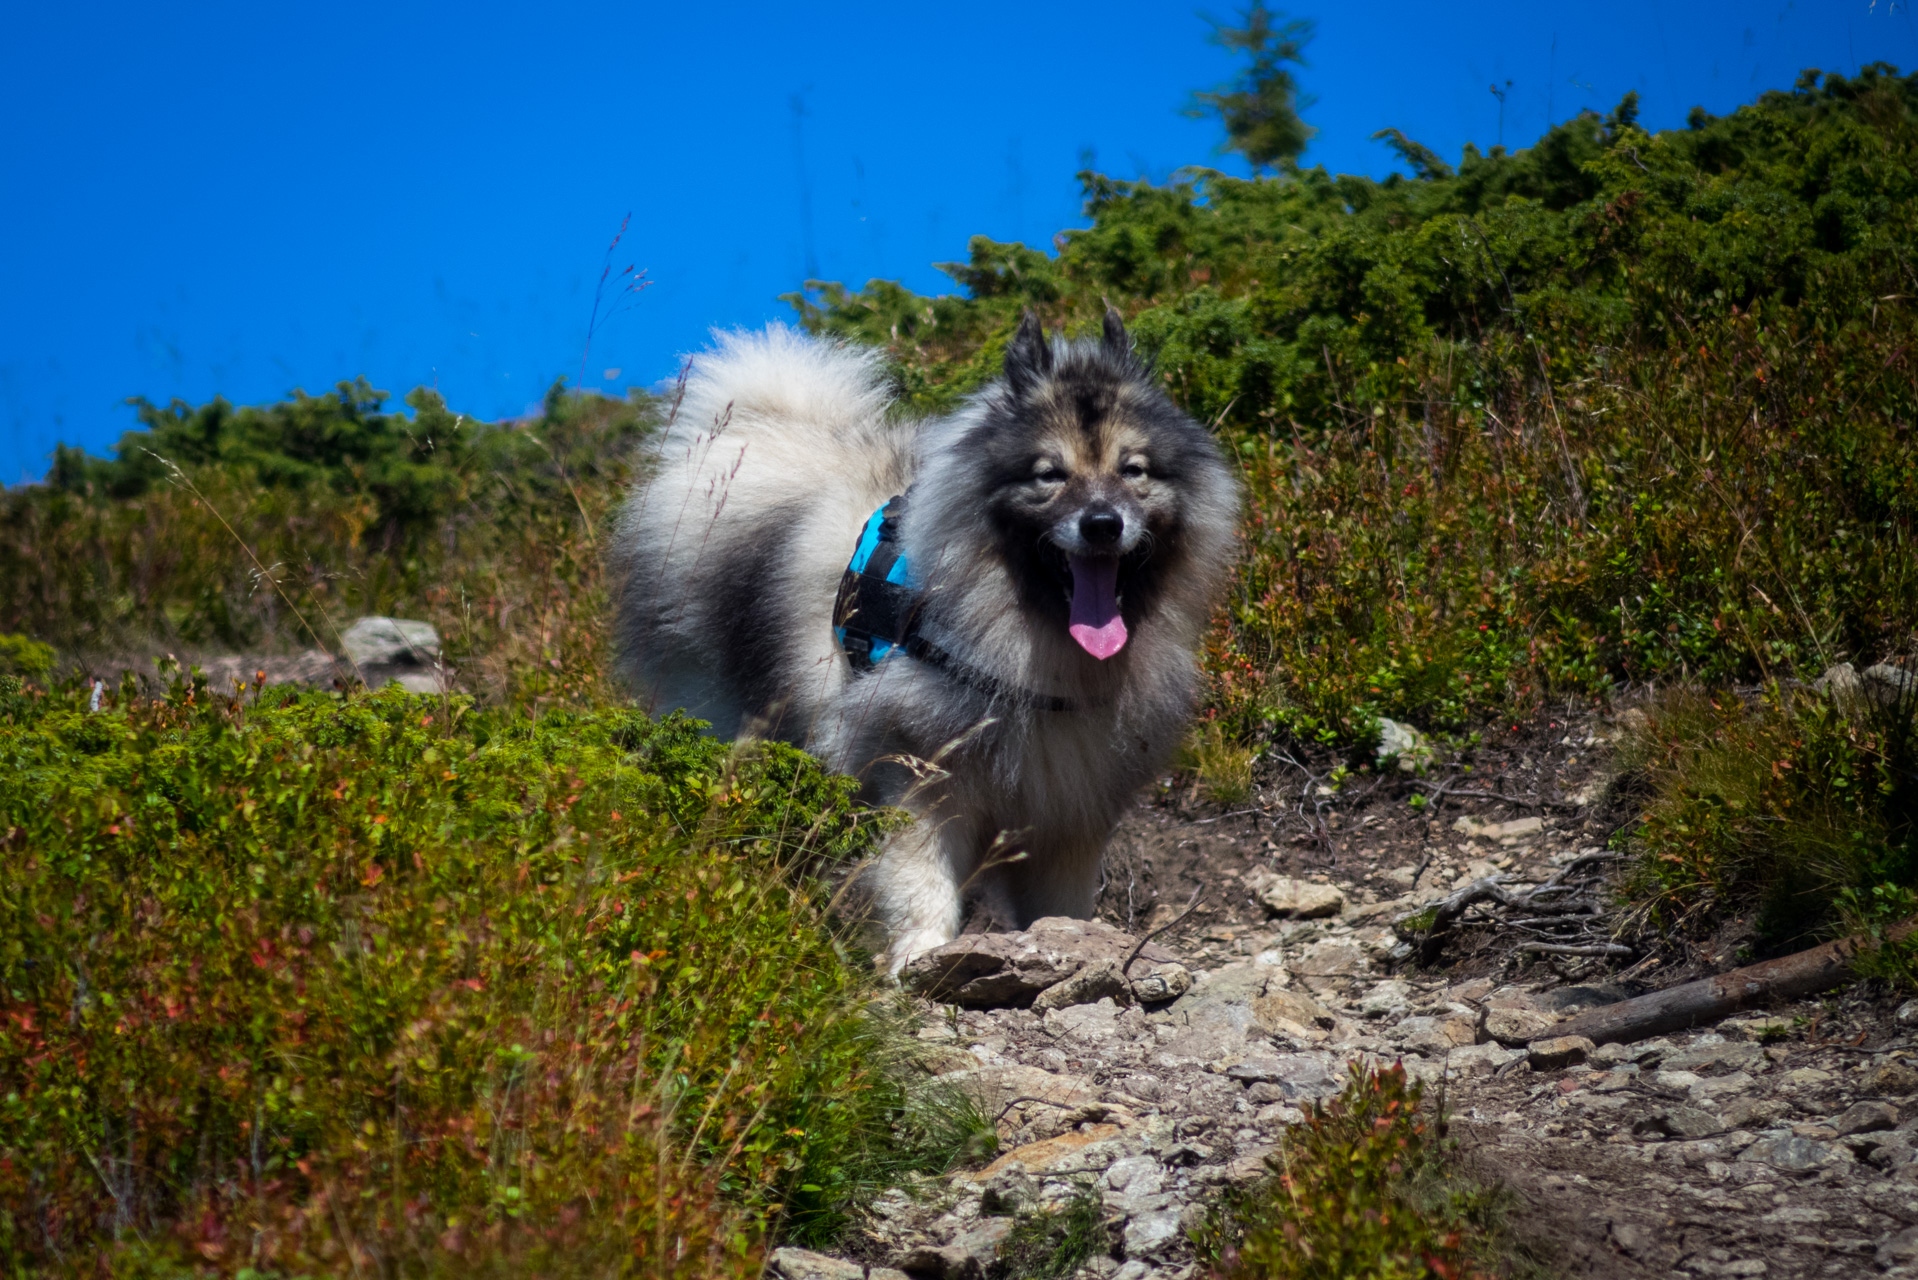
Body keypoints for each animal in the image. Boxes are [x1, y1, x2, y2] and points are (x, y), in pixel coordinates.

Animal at [613, 307, 1242, 971]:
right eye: (1049, 474)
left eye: (1133, 470)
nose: (1102, 524)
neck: (1034, 648)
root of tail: (765, 425)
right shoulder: (920, 773)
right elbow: (921, 880)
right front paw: (921, 954)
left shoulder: (1069, 803)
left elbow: (1062, 903)